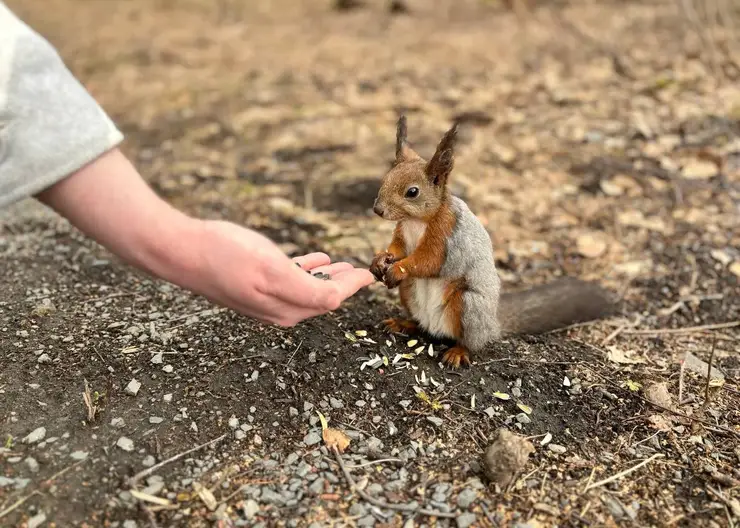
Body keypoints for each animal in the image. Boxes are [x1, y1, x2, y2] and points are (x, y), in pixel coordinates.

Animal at [368, 116, 612, 368]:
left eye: (412, 192)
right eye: (385, 179)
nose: (378, 209)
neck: (416, 221)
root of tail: (493, 326)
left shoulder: (446, 237)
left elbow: (428, 261)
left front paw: (397, 268)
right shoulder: (403, 233)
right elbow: (398, 248)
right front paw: (380, 259)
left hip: (468, 306)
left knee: (469, 341)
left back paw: (458, 352)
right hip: (409, 292)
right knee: (419, 324)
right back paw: (403, 324)